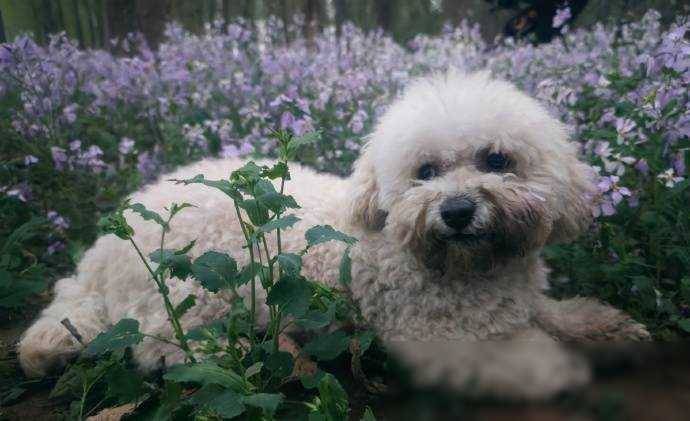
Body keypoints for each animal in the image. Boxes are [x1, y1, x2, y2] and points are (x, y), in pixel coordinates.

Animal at [20, 71, 644, 398]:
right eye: (425, 172)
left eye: (497, 159)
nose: (458, 211)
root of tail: (108, 244)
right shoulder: (431, 334)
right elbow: (514, 355)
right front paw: (553, 367)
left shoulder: (518, 302)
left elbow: (556, 313)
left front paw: (605, 324)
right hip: (200, 289)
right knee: (168, 347)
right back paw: (270, 355)